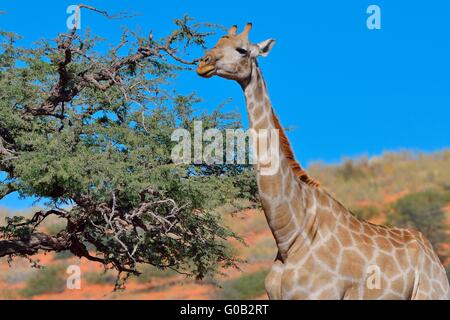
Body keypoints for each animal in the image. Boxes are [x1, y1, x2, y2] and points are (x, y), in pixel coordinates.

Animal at [197, 23, 450, 300]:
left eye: (241, 50)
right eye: (215, 44)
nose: (203, 63)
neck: (290, 236)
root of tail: (433, 259)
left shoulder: (320, 295)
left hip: (431, 294)